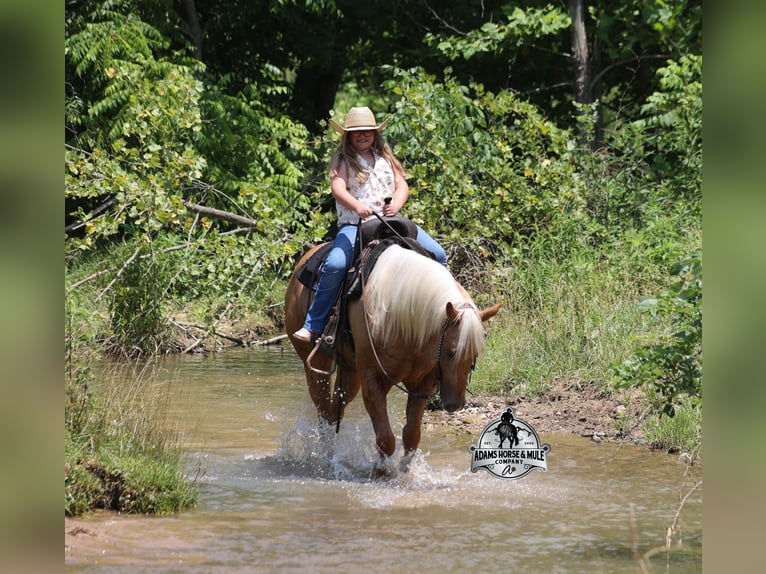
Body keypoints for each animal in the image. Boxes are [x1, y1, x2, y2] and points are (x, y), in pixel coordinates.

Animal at [284, 241, 501, 471]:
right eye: (451, 352)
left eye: (475, 354)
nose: (455, 405)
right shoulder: (373, 381)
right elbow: (385, 439)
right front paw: (380, 472)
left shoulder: (422, 384)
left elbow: (412, 435)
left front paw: (405, 472)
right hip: (316, 365)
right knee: (324, 411)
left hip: (351, 372)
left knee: (335, 410)